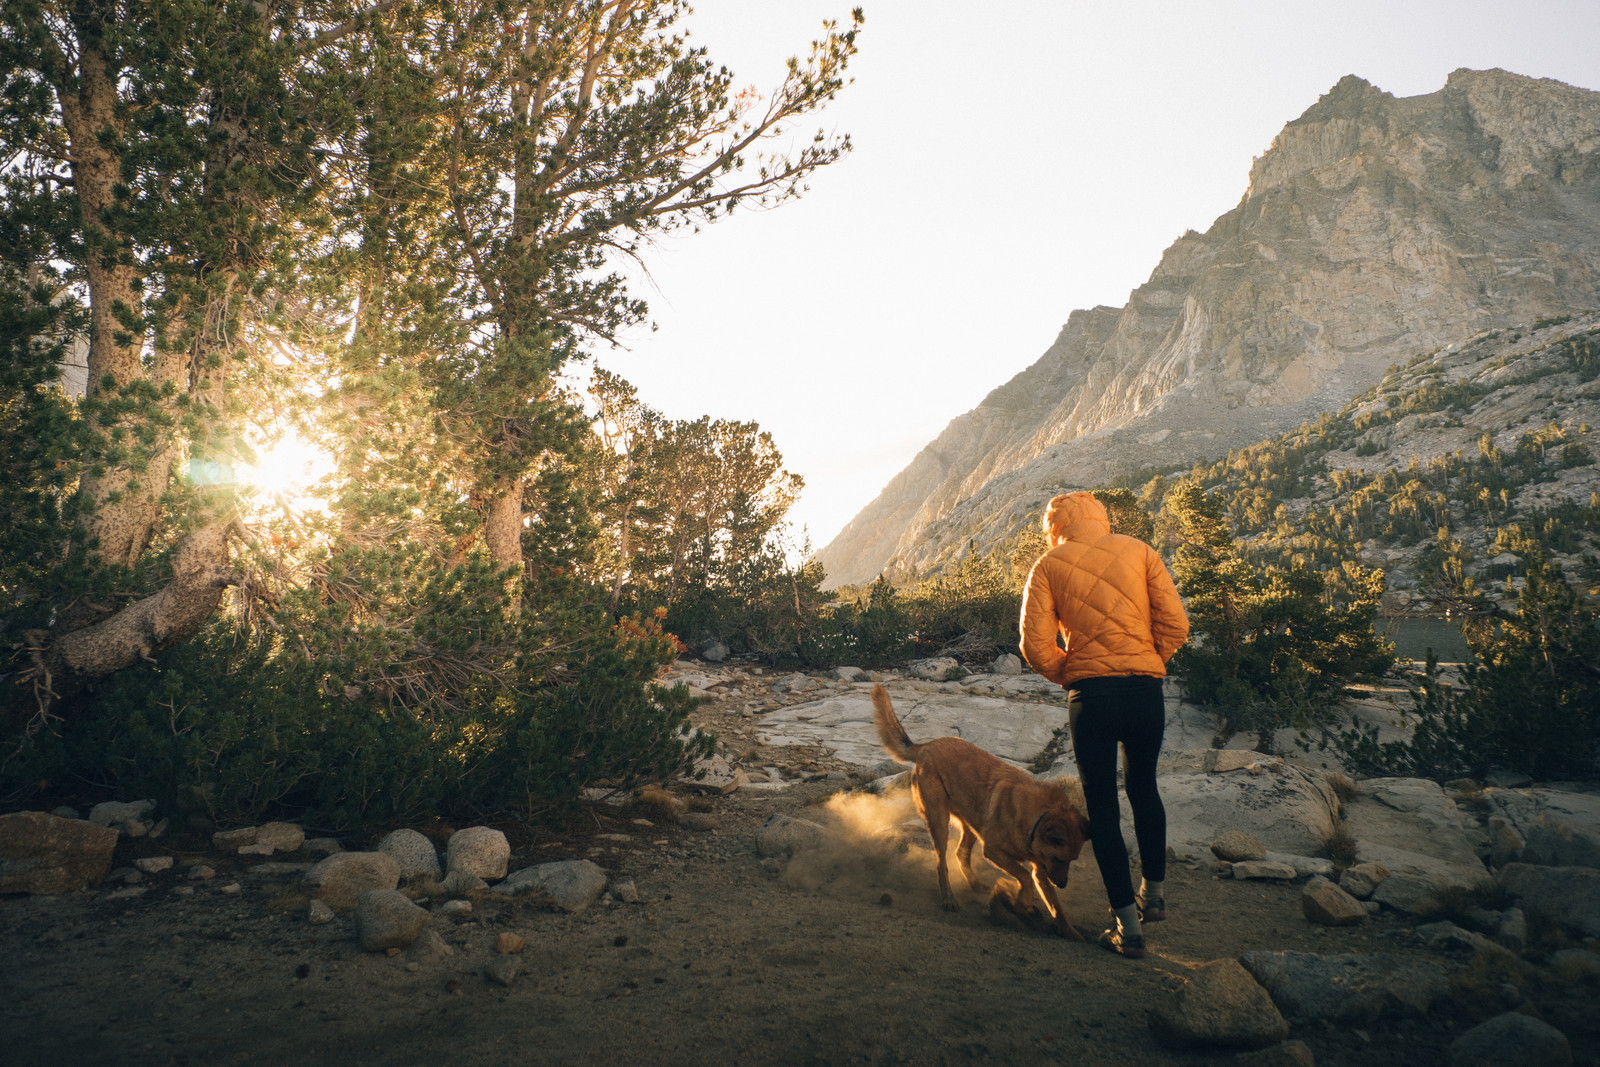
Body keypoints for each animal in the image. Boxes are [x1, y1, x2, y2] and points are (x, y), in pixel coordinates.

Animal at [876, 687, 1088, 940]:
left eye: (1071, 860)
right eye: (1059, 858)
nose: (1062, 884)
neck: (1038, 816)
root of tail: (926, 745)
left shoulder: (1041, 868)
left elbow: (1054, 904)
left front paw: (1069, 930)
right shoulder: (995, 851)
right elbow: (1024, 878)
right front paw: (1022, 905)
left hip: (971, 822)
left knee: (960, 853)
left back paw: (975, 884)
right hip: (939, 821)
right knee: (942, 863)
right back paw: (949, 899)